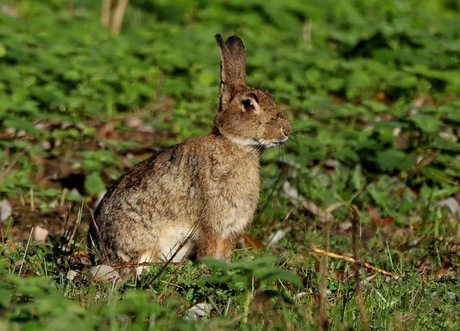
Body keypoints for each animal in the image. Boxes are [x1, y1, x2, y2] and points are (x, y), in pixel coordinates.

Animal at [88, 33, 292, 274]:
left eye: (271, 96)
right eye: (249, 104)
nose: (286, 130)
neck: (235, 145)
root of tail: (99, 254)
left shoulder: (230, 228)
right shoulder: (211, 221)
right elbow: (209, 249)